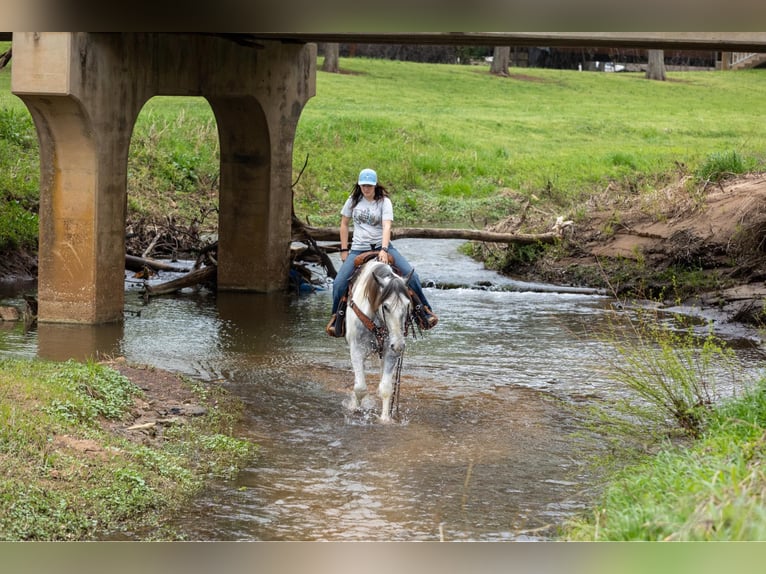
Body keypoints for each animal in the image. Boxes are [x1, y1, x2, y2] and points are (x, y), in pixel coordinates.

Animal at [344, 259, 413, 422]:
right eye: (386, 306)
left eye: (407, 305)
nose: (399, 345)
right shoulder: (356, 350)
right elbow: (360, 387)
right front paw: (354, 408)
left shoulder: (391, 352)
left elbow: (386, 388)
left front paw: (385, 419)